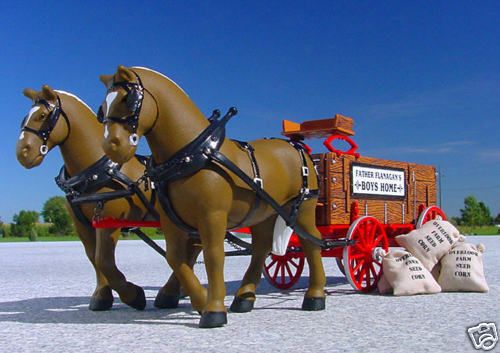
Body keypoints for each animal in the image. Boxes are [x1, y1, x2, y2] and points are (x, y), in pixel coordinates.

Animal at [14, 85, 197, 310]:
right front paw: (102, 296)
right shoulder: (82, 225)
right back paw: (177, 291)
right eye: (25, 118)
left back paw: (171, 292)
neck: (96, 172)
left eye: (41, 116)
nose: (22, 153)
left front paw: (133, 295)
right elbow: (93, 258)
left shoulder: (109, 220)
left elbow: (104, 260)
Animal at [99, 66, 326, 328]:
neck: (191, 155)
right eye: (102, 109)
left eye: (128, 100)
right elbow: (175, 258)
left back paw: (315, 296)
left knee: (312, 243)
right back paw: (244, 298)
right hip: (264, 212)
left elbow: (213, 256)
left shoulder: (212, 216)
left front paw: (214, 310)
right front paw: (200, 300)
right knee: (261, 248)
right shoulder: (171, 222)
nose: (112, 147)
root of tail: (298, 148)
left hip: (304, 208)